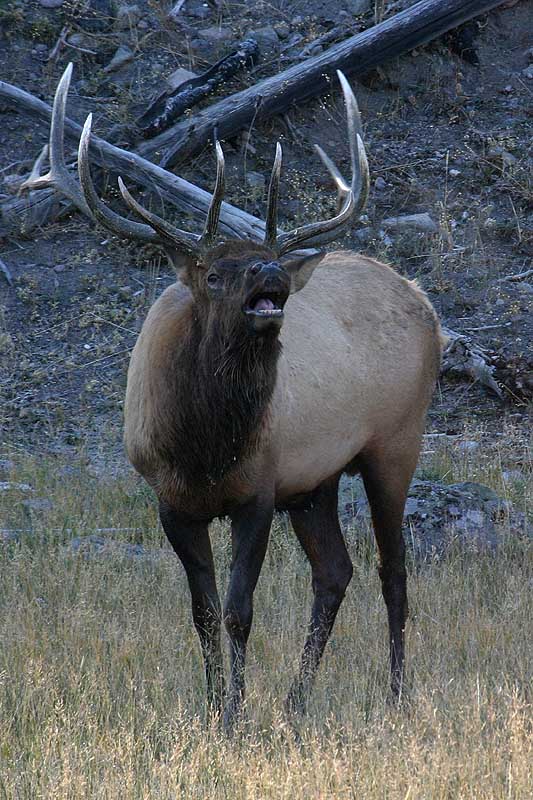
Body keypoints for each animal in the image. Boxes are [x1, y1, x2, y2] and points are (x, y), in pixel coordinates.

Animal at [25, 64, 440, 732]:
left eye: (263, 262)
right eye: (215, 274)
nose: (270, 271)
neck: (204, 447)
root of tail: (426, 302)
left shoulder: (259, 492)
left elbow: (239, 610)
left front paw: (234, 719)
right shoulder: (171, 501)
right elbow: (202, 612)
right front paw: (214, 704)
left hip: (396, 441)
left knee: (392, 569)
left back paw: (396, 694)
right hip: (316, 480)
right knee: (336, 571)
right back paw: (296, 702)